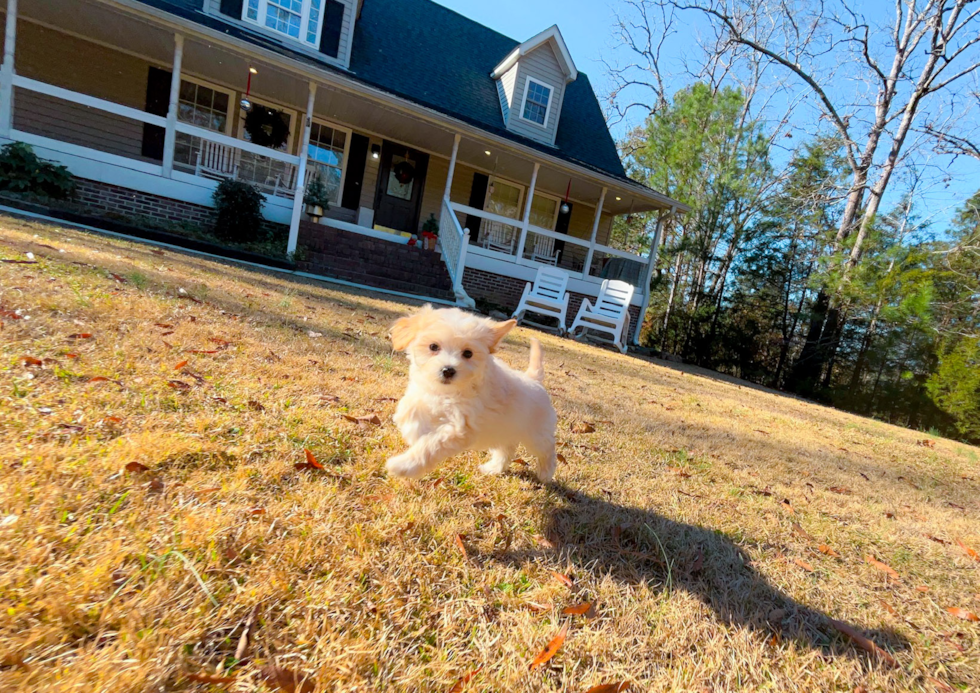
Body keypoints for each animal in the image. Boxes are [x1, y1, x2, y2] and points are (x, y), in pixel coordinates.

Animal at [388, 306, 560, 482]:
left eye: (468, 353)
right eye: (433, 347)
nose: (448, 370)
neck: (447, 392)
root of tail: (533, 379)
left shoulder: (460, 428)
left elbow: (432, 444)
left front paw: (404, 465)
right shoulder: (422, 395)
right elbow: (410, 408)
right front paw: (412, 430)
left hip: (536, 434)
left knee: (547, 451)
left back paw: (545, 474)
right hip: (505, 430)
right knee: (506, 449)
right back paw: (494, 468)